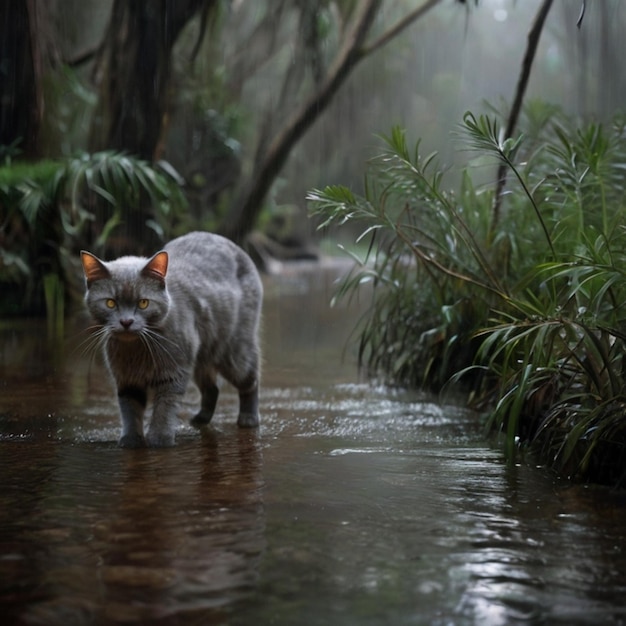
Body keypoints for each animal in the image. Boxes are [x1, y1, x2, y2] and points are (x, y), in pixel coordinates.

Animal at [80, 232, 260, 446]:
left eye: (143, 303)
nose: (126, 321)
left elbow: (164, 409)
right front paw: (131, 440)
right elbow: (130, 410)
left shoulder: (173, 373)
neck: (138, 349)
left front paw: (159, 440)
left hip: (233, 351)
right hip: (200, 358)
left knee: (250, 381)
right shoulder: (126, 379)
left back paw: (249, 419)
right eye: (110, 303)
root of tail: (228, 242)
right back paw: (200, 419)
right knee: (212, 388)